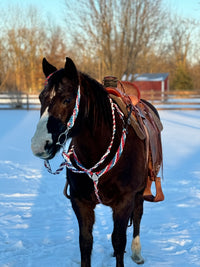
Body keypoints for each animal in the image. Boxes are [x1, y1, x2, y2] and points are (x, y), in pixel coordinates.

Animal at [31, 58, 156, 267]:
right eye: (41, 98)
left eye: (67, 99)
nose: (39, 145)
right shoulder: (80, 201)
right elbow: (85, 242)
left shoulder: (124, 201)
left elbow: (118, 240)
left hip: (140, 191)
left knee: (138, 215)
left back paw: (137, 253)